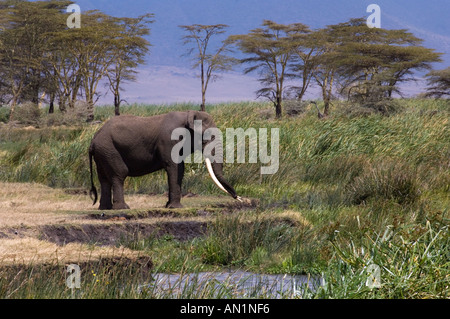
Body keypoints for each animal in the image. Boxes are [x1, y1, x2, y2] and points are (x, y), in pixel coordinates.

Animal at [89, 111, 243, 211]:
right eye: (208, 136)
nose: (239, 198)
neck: (189, 114)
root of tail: (93, 140)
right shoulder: (169, 140)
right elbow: (174, 167)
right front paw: (175, 208)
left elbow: (180, 169)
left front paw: (169, 206)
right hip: (110, 150)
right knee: (119, 174)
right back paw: (122, 208)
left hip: (103, 153)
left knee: (104, 179)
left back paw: (105, 209)